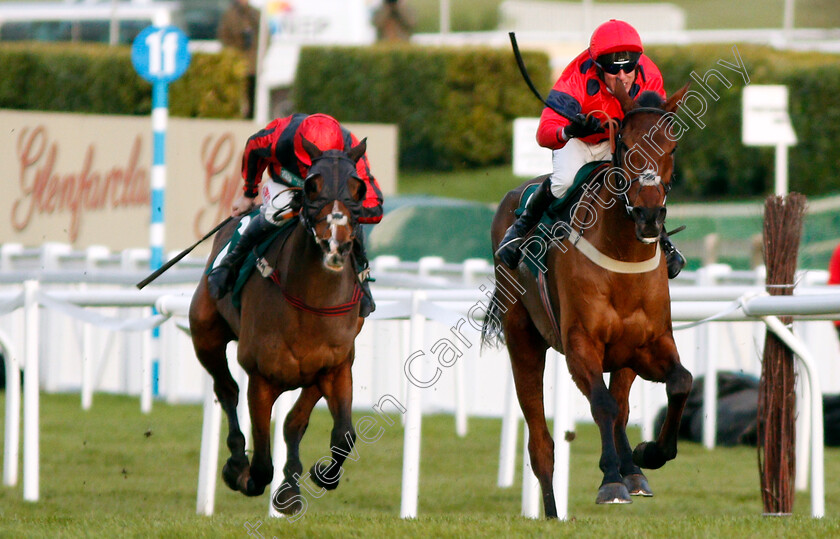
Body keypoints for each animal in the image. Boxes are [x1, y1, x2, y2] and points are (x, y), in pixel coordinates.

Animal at [190, 137, 368, 512]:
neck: (311, 303)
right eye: (312, 185)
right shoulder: (261, 377)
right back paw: (236, 462)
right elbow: (262, 461)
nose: (336, 243)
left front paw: (315, 477)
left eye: (357, 187)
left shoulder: (334, 367)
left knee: (288, 421)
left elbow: (337, 433)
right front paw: (244, 474)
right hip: (205, 335)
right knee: (227, 390)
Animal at [482, 82, 692, 516]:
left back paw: (634, 469)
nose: (649, 216)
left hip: (623, 356)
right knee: (542, 444)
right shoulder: (580, 344)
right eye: (625, 143)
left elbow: (679, 382)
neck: (622, 256)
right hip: (522, 339)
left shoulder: (650, 342)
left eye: (673, 146)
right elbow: (603, 405)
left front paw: (648, 454)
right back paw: (552, 511)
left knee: (622, 404)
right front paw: (611, 480)